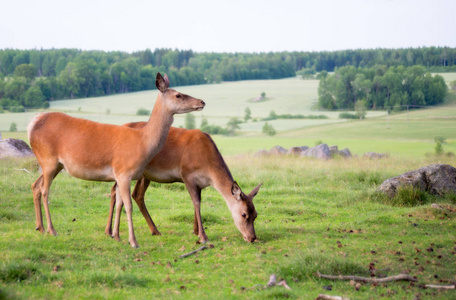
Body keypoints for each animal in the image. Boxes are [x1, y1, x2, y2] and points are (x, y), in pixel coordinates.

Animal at [27, 74, 206, 247]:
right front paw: (133, 241)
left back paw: (40, 227)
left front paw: (117, 237)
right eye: (178, 95)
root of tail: (32, 125)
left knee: (35, 185)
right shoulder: (123, 172)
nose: (202, 102)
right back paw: (51, 229)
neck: (143, 143)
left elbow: (119, 203)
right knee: (44, 189)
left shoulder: (120, 175)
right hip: (48, 158)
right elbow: (128, 205)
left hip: (55, 164)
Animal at [107, 125, 262, 243]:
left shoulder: (200, 183)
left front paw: (196, 230)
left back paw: (154, 230)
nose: (252, 238)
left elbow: (198, 202)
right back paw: (109, 231)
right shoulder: (187, 174)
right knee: (116, 190)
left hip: (144, 174)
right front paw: (202, 236)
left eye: (255, 214)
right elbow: (196, 202)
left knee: (136, 194)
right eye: (243, 214)